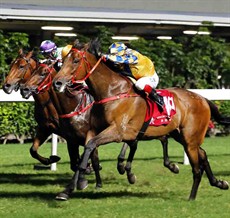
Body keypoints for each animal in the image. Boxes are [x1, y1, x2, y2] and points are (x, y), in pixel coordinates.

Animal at [53, 39, 229, 201]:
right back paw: (219, 183)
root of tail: (202, 98)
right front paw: (67, 190)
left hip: (190, 139)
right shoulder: (94, 130)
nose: (57, 83)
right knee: (203, 154)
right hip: (181, 135)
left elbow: (91, 146)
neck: (112, 92)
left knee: (197, 168)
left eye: (76, 60)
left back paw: (192, 197)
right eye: (64, 60)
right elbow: (86, 152)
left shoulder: (117, 132)